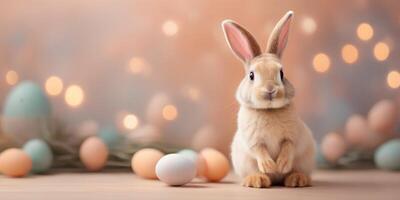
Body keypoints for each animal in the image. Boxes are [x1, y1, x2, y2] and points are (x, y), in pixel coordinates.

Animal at [222, 10, 316, 188]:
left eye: (282, 73)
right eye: (251, 75)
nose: (270, 90)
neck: (269, 110)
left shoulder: (292, 136)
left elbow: (288, 146)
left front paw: (281, 165)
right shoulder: (253, 140)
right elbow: (259, 150)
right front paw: (270, 166)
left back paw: (296, 179)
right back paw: (256, 180)